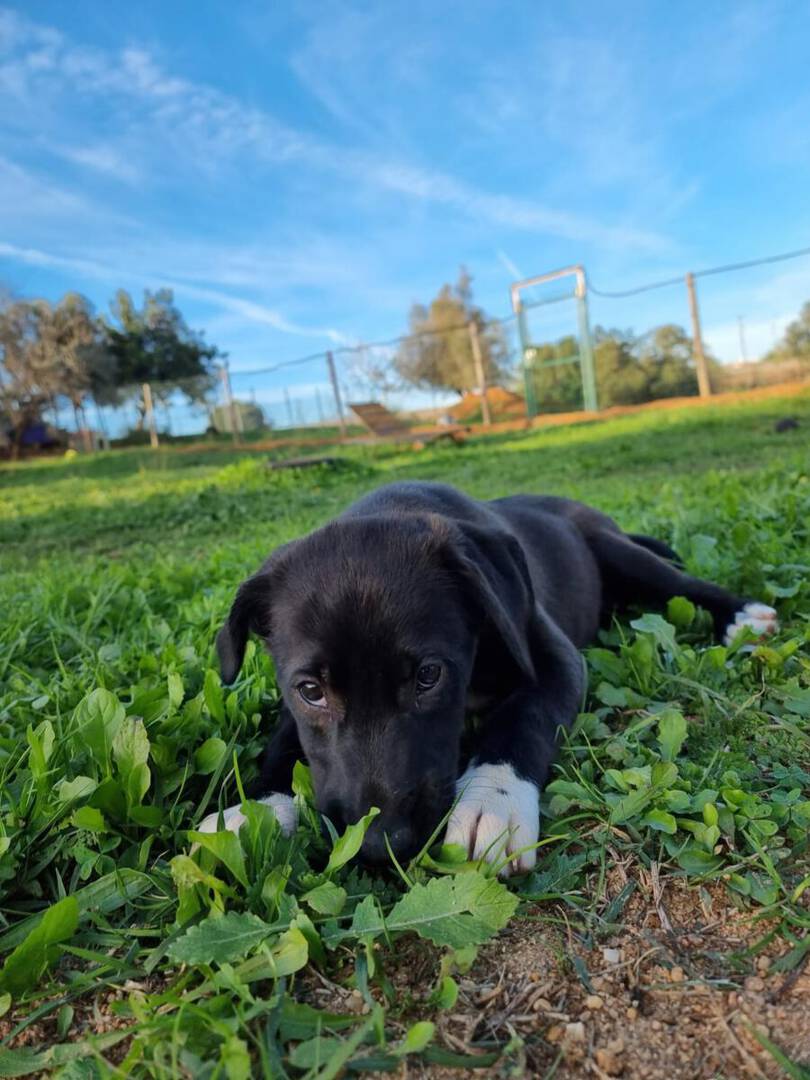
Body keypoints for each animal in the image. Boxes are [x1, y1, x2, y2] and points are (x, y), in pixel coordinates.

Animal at [200, 481, 778, 875]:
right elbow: (283, 742)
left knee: (682, 583)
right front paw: (254, 811)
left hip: (616, 550)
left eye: (429, 676)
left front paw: (491, 800)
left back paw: (741, 616)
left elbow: (523, 716)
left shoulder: (553, 657)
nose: (380, 843)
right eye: (311, 691)